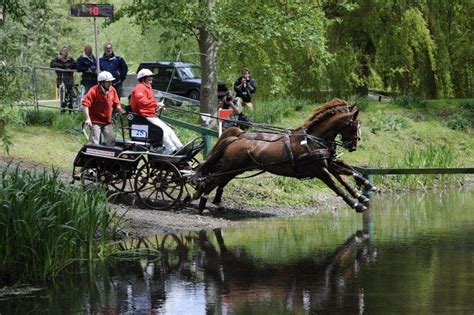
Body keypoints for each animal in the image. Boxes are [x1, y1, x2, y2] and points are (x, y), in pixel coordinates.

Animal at [192, 97, 374, 214]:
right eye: (354, 125)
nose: (354, 145)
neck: (313, 140)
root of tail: (236, 138)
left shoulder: (328, 162)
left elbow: (347, 173)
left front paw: (365, 189)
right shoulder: (319, 170)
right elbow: (337, 186)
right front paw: (356, 204)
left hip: (235, 169)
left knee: (218, 180)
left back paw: (210, 200)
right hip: (230, 167)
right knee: (212, 180)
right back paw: (201, 204)